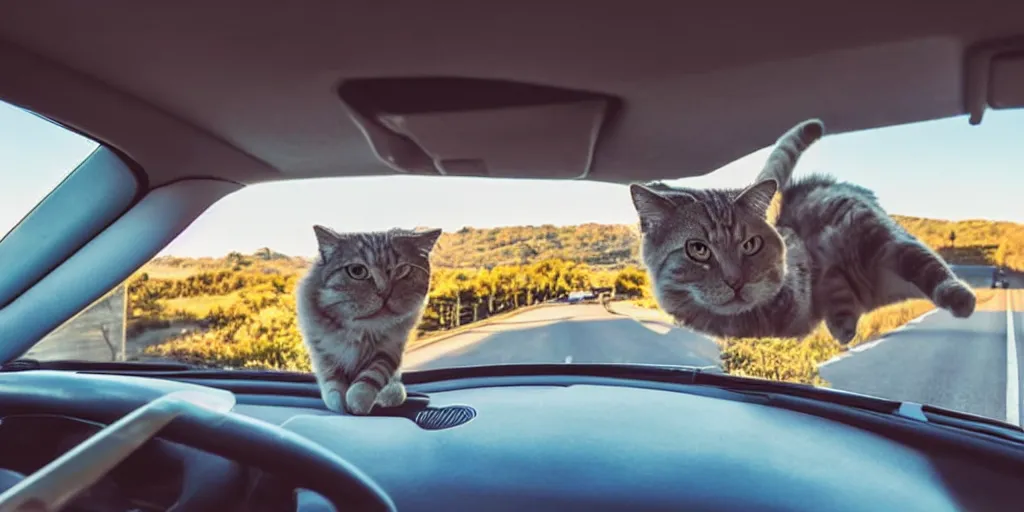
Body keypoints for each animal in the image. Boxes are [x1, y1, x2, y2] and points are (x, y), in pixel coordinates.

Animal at [294, 225, 442, 415]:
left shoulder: (391, 347)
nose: (384, 292)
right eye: (357, 271)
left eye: (402, 270)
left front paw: (358, 399)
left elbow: (372, 375)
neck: (362, 328)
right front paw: (338, 400)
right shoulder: (321, 348)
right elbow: (331, 377)